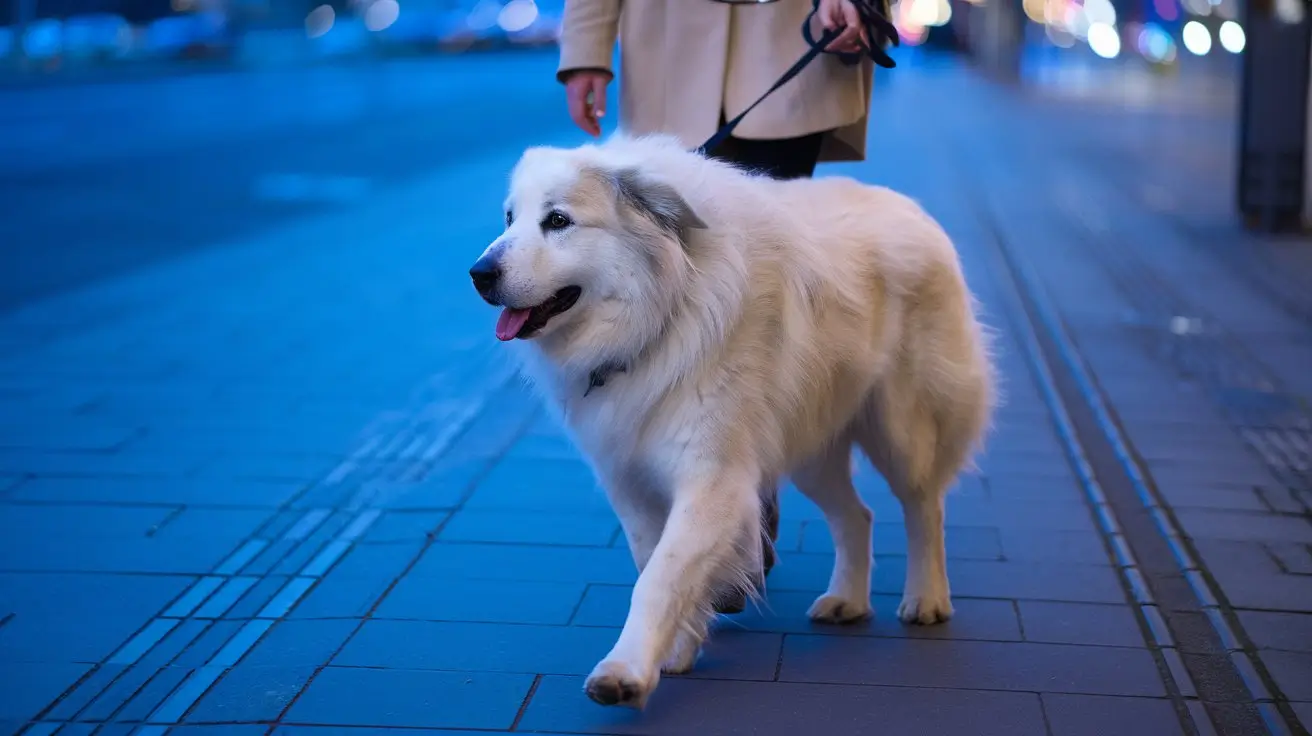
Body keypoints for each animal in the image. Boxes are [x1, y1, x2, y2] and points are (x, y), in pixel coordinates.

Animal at [472, 131, 991, 708]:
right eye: (509, 218)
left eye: (558, 220)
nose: (479, 274)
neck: (661, 314)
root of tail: (912, 208)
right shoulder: (632, 484)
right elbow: (653, 562)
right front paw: (674, 653)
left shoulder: (712, 483)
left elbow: (658, 579)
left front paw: (624, 672)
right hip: (809, 452)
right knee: (857, 516)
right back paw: (847, 601)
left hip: (901, 430)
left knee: (924, 508)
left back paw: (926, 600)